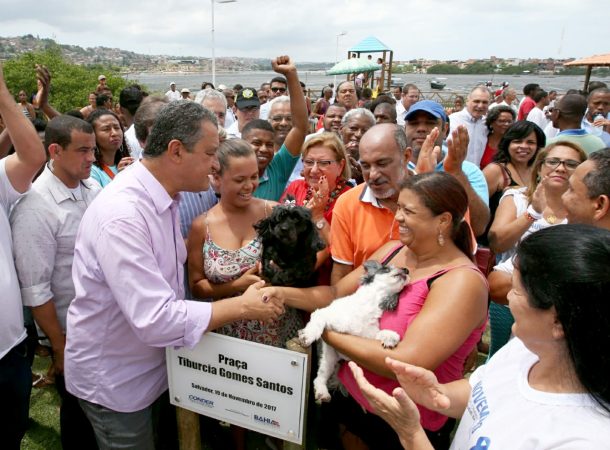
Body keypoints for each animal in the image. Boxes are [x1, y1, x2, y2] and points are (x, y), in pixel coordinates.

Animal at [296, 258, 406, 402]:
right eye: (386, 269)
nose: (406, 269)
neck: (368, 306)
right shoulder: (323, 313)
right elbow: (317, 324)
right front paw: (307, 336)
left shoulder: (367, 335)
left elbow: (380, 333)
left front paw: (390, 337)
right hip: (329, 357)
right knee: (319, 378)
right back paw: (322, 392)